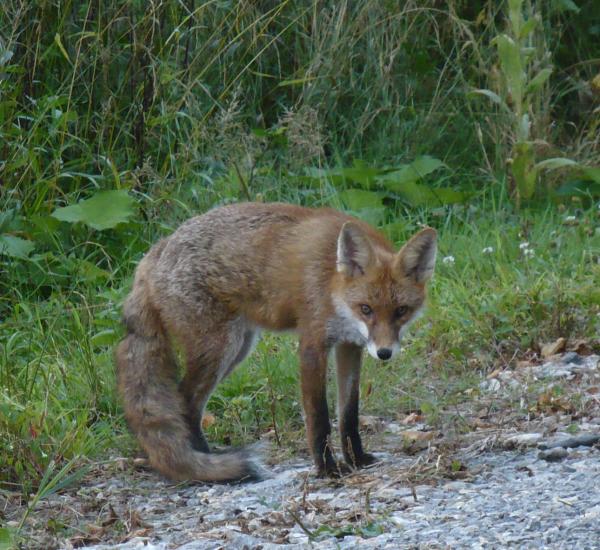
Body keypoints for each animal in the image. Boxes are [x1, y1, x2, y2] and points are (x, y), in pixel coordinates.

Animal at [116, 202, 436, 484]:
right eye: (366, 309)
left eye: (401, 311)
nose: (384, 353)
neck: (331, 280)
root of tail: (155, 252)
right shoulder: (313, 343)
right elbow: (319, 417)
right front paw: (327, 469)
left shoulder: (350, 346)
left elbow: (349, 414)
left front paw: (356, 459)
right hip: (220, 348)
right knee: (184, 403)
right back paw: (203, 466)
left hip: (238, 348)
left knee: (187, 407)